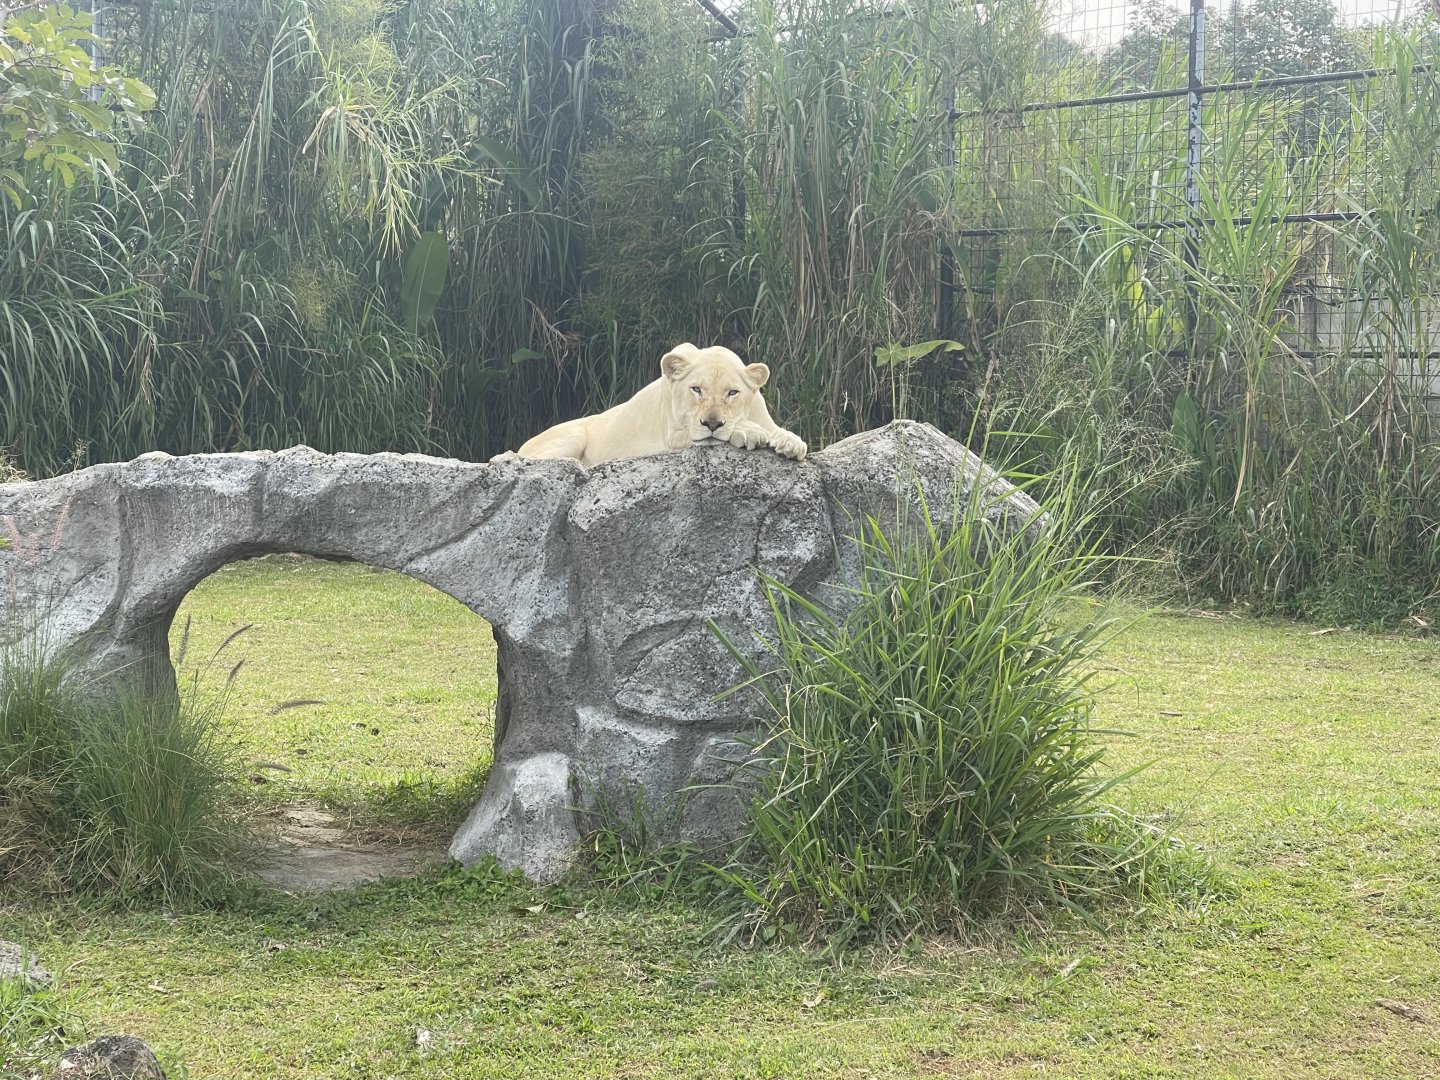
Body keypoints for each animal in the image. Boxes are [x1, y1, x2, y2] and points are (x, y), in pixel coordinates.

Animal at [515, 342, 807, 466]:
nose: (712, 423)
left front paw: (791, 443)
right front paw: (749, 432)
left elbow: (782, 431)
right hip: (570, 437)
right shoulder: (673, 435)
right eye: (696, 389)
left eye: (732, 393)